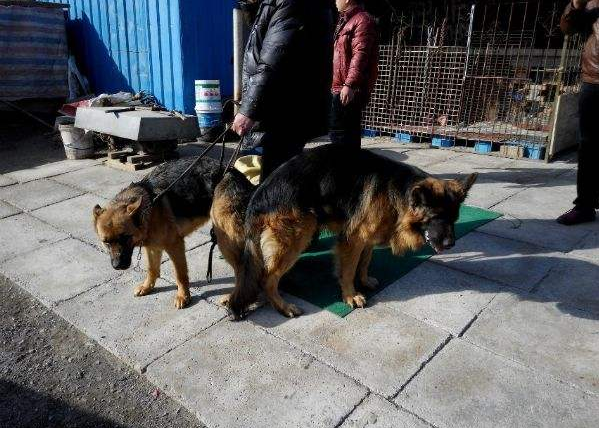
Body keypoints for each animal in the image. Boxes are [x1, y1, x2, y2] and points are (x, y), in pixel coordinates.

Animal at [92, 156, 224, 308]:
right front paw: (147, 287)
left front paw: (183, 296)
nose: (117, 266)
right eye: (105, 242)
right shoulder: (152, 247)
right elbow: (152, 269)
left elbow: (180, 274)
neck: (149, 209)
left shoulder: (175, 246)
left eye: (125, 237)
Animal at [220, 145, 478, 320]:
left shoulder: (366, 237)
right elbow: (348, 269)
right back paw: (283, 306)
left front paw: (363, 280)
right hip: (299, 234)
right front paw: (350, 295)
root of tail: (258, 194)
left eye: (454, 218)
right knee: (267, 278)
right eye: (436, 218)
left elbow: (364, 262)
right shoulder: (352, 239)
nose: (451, 244)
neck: (396, 189)